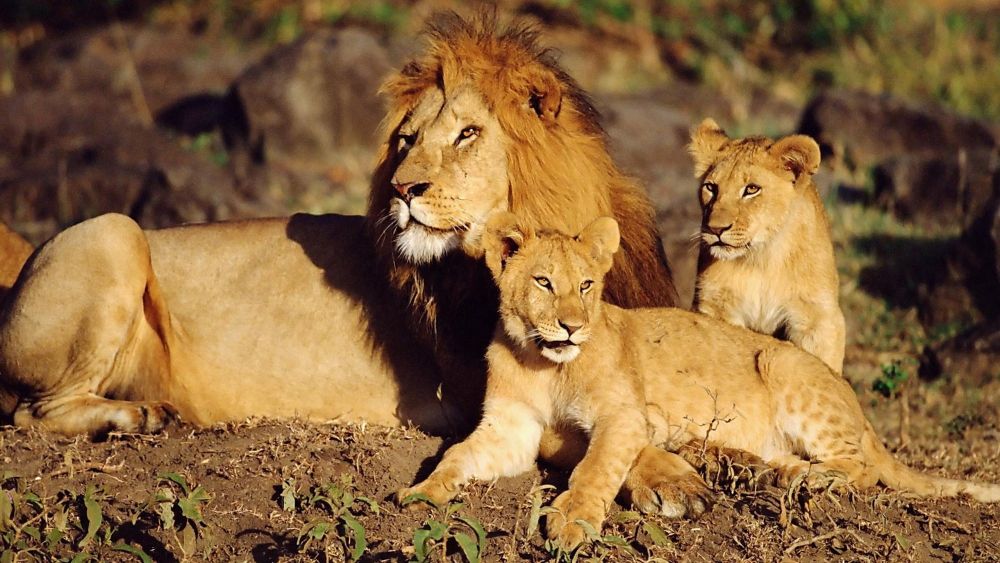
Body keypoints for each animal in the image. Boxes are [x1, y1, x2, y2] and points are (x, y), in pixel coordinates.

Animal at [0, 12, 677, 447]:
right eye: (407, 141)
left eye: (467, 134)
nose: (404, 189)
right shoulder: (484, 392)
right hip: (113, 230)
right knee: (32, 414)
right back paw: (136, 418)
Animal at [400, 212, 999, 548]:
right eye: (544, 283)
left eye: (588, 285)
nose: (572, 325)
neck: (545, 363)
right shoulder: (512, 428)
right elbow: (458, 454)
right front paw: (423, 492)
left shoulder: (624, 416)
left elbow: (596, 468)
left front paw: (572, 521)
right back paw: (771, 472)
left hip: (785, 366)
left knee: (862, 468)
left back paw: (807, 479)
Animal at [689, 119, 845, 373]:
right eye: (711, 187)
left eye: (752, 189)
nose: (715, 229)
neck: (761, 258)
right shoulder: (714, 305)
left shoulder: (818, 317)